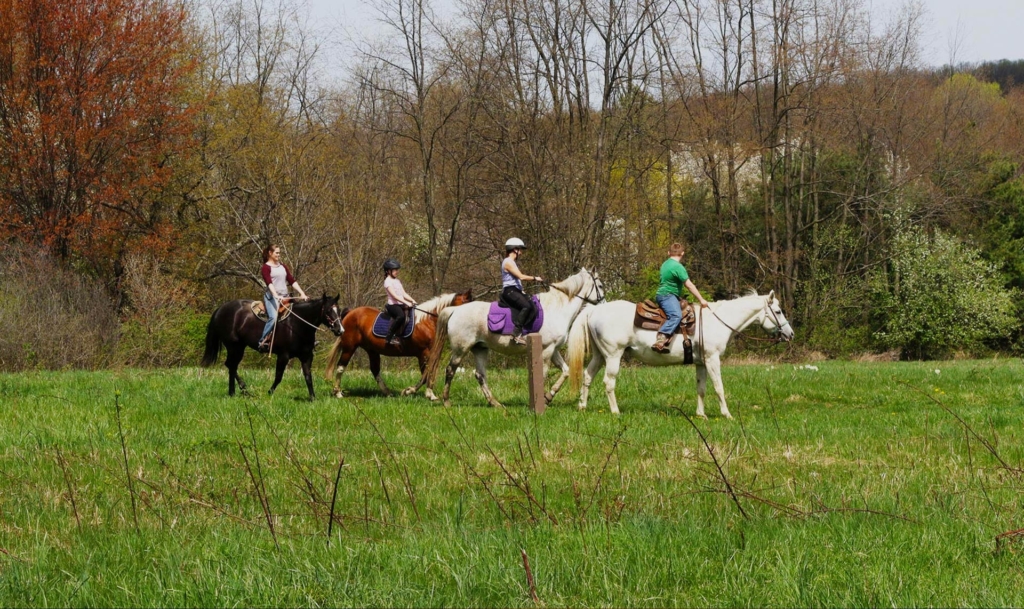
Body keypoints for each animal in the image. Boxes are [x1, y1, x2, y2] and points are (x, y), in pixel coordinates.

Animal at [201, 294, 346, 401]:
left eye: (338, 310)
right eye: (328, 311)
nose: (340, 330)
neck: (297, 324)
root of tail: (221, 309)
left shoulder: (307, 356)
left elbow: (308, 377)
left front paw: (312, 398)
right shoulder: (283, 355)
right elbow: (278, 376)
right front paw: (269, 392)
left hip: (239, 347)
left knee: (231, 365)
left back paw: (237, 391)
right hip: (233, 346)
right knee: (231, 366)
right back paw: (237, 390)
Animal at [325, 290, 473, 401]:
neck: (428, 320)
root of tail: (350, 313)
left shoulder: (432, 353)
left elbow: (429, 372)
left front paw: (427, 393)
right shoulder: (424, 353)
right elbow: (426, 373)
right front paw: (415, 392)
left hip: (372, 350)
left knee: (375, 370)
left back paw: (387, 392)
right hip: (349, 348)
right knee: (341, 367)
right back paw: (337, 392)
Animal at [425, 270, 602, 407]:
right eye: (599, 286)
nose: (603, 302)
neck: (557, 309)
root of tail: (455, 310)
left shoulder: (554, 350)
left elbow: (565, 371)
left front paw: (548, 397)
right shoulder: (547, 350)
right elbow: (543, 374)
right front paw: (542, 400)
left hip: (480, 349)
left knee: (480, 375)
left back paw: (495, 403)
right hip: (460, 349)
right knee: (450, 370)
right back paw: (446, 401)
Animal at [569, 292, 790, 417]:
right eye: (778, 311)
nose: (790, 334)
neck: (717, 320)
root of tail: (594, 311)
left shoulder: (701, 362)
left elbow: (701, 388)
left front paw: (701, 415)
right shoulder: (712, 359)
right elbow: (718, 387)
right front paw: (727, 414)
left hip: (599, 355)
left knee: (587, 376)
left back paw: (582, 406)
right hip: (613, 355)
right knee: (608, 382)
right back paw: (615, 412)